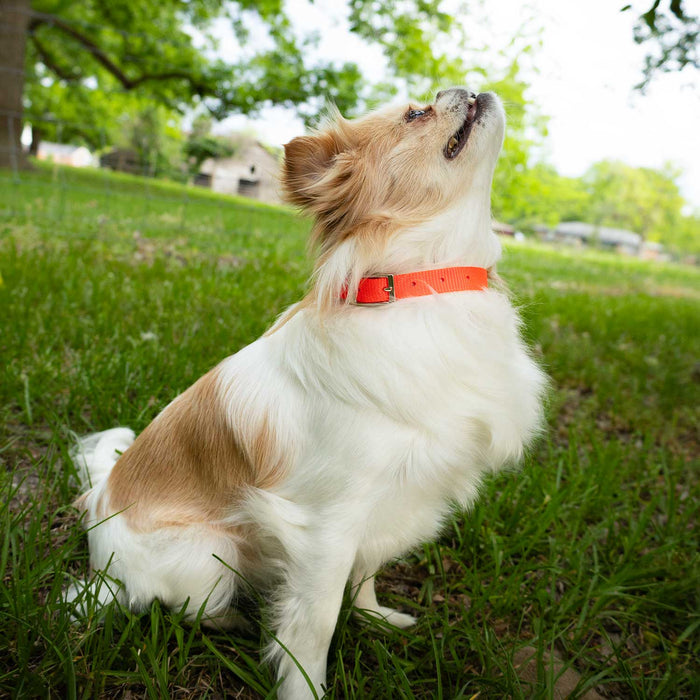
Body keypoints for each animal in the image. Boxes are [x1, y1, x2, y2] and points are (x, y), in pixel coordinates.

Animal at [72, 89, 552, 700]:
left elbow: (365, 572)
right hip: (209, 556)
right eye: (416, 114)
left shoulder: (383, 507)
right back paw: (234, 617)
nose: (465, 87)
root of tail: (97, 506)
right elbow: (316, 622)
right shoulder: (327, 524)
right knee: (179, 606)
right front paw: (305, 686)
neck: (426, 284)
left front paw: (373, 617)